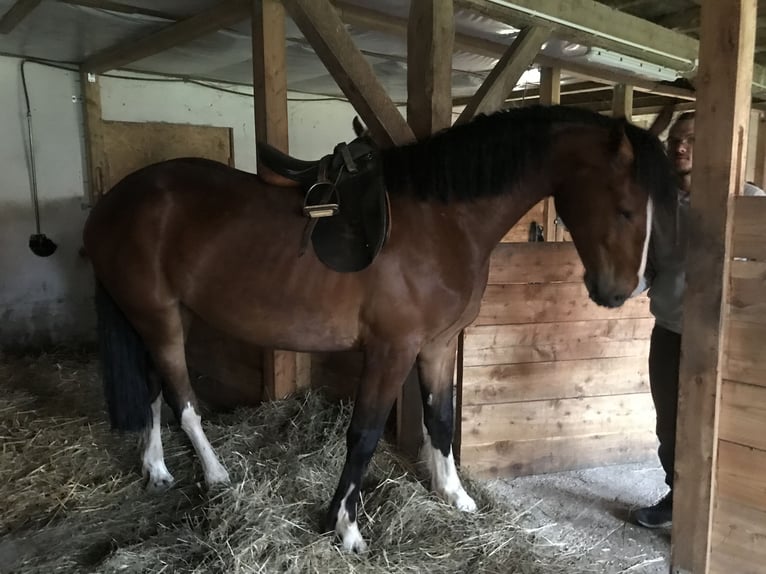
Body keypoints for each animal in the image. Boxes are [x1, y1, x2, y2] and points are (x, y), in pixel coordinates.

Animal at [81, 106, 676, 556]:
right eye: (626, 208)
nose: (624, 292)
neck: (443, 221)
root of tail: (115, 201)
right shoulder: (392, 350)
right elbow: (364, 434)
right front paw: (345, 527)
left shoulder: (437, 345)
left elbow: (441, 419)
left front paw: (453, 495)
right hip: (158, 316)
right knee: (181, 398)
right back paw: (216, 474)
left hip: (161, 316)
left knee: (153, 389)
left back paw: (157, 469)